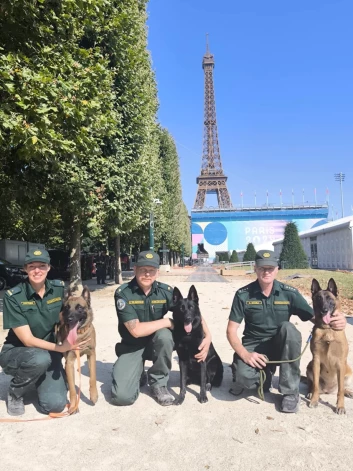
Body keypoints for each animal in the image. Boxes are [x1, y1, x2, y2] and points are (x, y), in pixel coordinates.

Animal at [56, 284, 97, 412]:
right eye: (67, 308)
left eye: (79, 308)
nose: (69, 319)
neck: (79, 335)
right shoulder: (69, 362)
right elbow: (73, 389)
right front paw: (74, 405)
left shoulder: (91, 355)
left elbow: (92, 376)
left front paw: (94, 395)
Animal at [306, 278, 352, 414]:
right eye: (318, 298)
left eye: (329, 299)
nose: (324, 310)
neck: (327, 329)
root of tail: (328, 390)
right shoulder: (316, 360)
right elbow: (315, 385)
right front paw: (314, 400)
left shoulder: (341, 363)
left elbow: (340, 391)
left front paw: (340, 406)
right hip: (309, 366)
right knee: (312, 385)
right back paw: (311, 393)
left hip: (348, 372)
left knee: (341, 388)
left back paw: (348, 392)